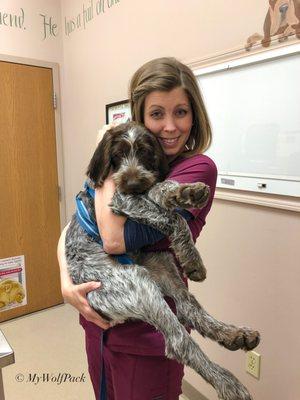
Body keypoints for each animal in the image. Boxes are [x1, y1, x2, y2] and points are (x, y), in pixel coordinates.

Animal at [65, 122, 260, 400]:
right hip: (136, 283)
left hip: (162, 264)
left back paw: (233, 334)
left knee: (188, 308)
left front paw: (184, 192)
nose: (132, 181)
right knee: (179, 341)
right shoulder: (122, 198)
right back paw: (227, 383)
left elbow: (160, 187)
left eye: (145, 152)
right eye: (118, 154)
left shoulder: (139, 190)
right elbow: (172, 216)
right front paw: (192, 255)